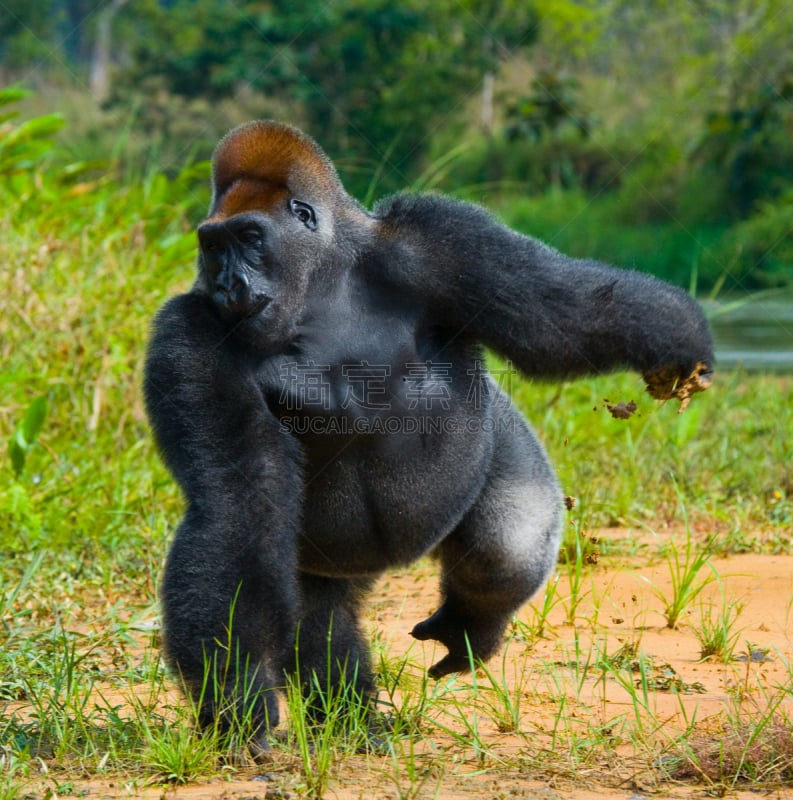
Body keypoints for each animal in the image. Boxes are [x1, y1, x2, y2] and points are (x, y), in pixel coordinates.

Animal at [145, 119, 716, 752]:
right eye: (212, 247)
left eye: (249, 238)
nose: (226, 284)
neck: (322, 286)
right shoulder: (188, 333)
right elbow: (236, 504)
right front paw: (237, 696)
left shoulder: (438, 240)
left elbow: (560, 314)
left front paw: (674, 338)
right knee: (317, 614)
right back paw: (354, 717)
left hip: (498, 445)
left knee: (506, 546)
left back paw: (468, 628)